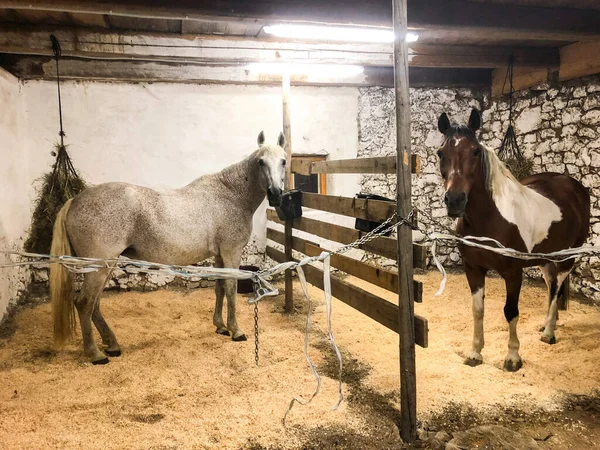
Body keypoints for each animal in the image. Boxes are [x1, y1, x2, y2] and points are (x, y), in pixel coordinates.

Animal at [50, 132, 288, 364]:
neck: (231, 195)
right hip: (100, 265)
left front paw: (220, 326)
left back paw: (112, 345)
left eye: (284, 161)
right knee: (84, 303)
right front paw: (236, 331)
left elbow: (219, 288)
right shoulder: (232, 253)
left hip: (105, 266)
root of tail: (74, 201)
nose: (276, 194)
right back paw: (96, 354)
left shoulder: (220, 256)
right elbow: (230, 289)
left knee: (95, 304)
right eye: (260, 162)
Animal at [436, 110, 592, 372]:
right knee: (551, 287)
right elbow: (477, 310)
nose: (455, 200)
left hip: (567, 257)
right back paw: (546, 324)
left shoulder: (512, 273)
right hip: (545, 259)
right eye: (441, 153)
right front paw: (475, 353)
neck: (490, 219)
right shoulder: (473, 268)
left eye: (475, 151)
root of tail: (575, 187)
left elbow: (510, 311)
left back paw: (549, 333)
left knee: (557, 287)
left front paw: (512, 357)